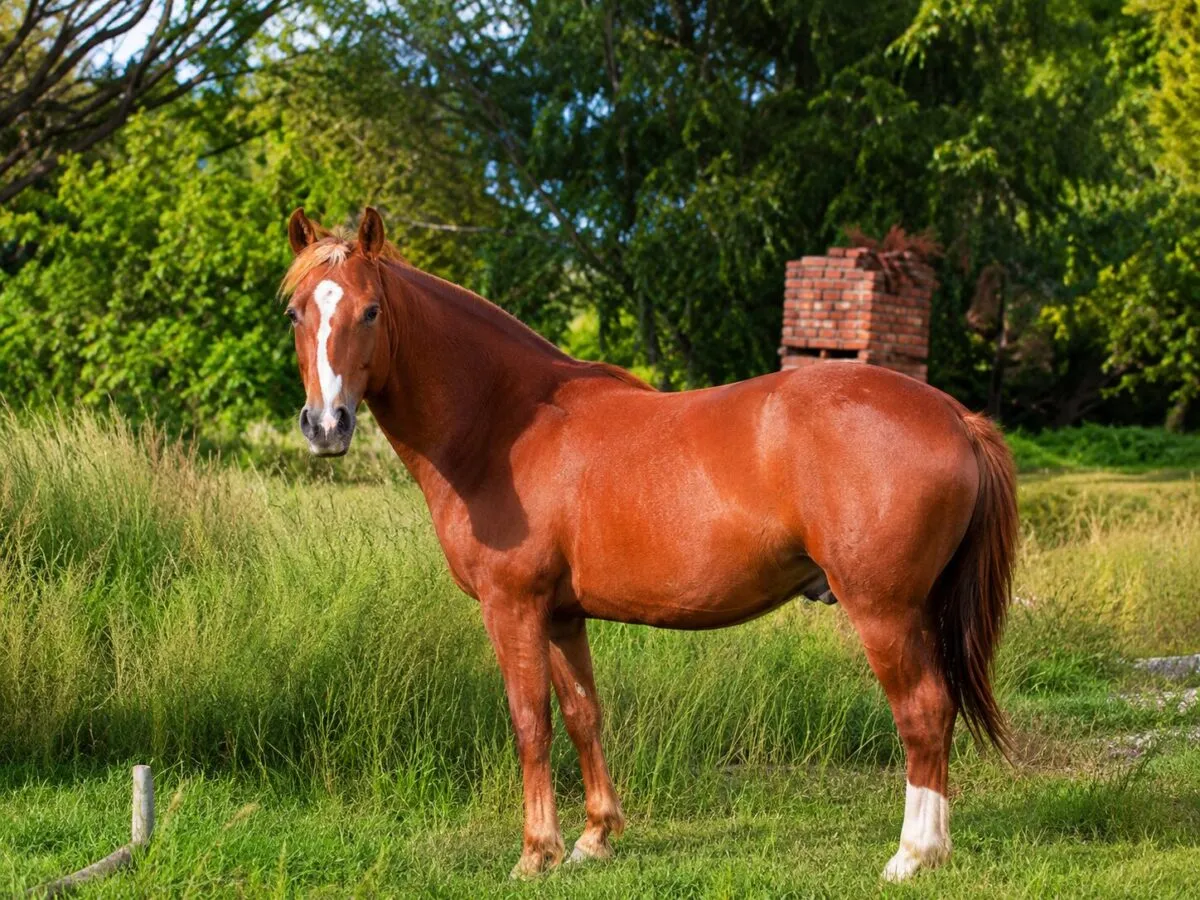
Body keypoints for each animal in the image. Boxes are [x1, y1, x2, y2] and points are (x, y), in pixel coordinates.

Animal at [280, 206, 1018, 881]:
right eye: (294, 313)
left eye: (371, 310)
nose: (326, 426)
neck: (504, 423)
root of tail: (957, 415)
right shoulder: (561, 615)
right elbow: (583, 714)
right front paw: (593, 838)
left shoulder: (511, 607)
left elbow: (530, 722)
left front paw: (535, 853)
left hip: (884, 611)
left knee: (922, 713)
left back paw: (913, 856)